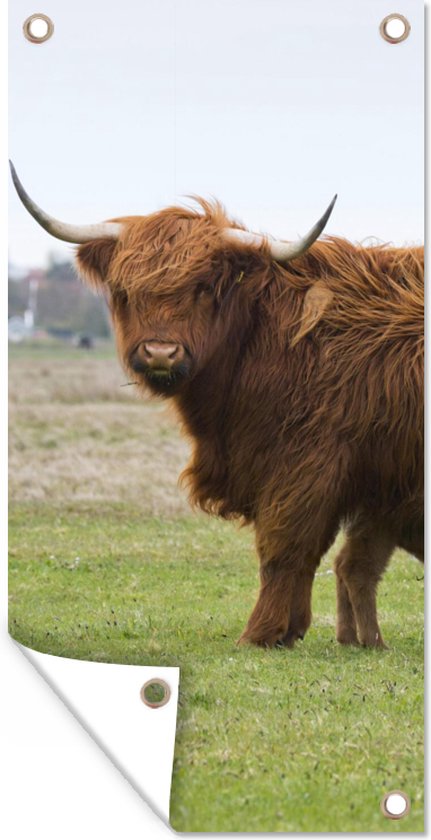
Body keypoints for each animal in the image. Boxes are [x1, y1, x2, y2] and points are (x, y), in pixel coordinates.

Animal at [10, 161, 424, 649]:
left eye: (204, 287)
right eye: (125, 290)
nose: (160, 353)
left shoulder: (306, 463)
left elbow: (283, 547)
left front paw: (260, 632)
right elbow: (305, 554)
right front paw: (291, 629)